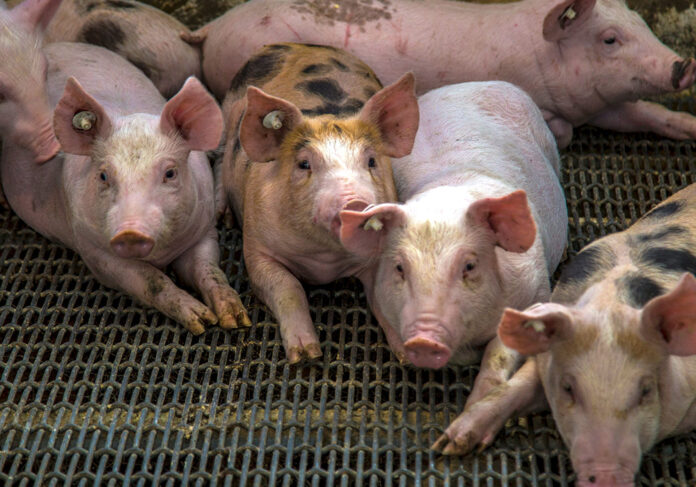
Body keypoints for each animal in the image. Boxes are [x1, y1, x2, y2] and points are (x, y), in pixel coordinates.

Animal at [0, 40, 249, 333]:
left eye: (170, 173)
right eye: (104, 176)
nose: (131, 231)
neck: (161, 253)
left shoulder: (204, 230)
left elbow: (209, 269)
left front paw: (234, 320)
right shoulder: (96, 253)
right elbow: (153, 282)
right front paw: (199, 320)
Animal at [187, 0, 696, 148]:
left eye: (642, 22)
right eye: (609, 39)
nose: (683, 65)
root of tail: (211, 26)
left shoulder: (600, 101)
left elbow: (645, 113)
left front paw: (689, 125)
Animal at [220, 43, 419, 363]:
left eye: (371, 161)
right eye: (304, 164)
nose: (355, 202)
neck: (324, 260)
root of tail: (285, 44)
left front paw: (407, 356)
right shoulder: (256, 247)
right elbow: (288, 287)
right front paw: (306, 355)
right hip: (227, 123)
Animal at [434, 184, 696, 487]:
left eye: (646, 391)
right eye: (569, 388)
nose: (606, 477)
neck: (610, 302)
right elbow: (515, 388)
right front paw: (447, 446)